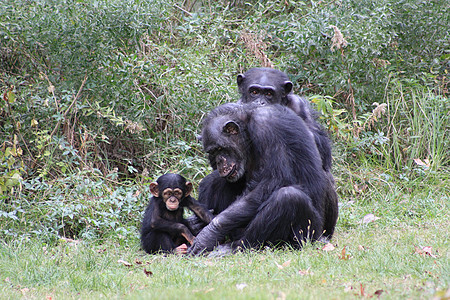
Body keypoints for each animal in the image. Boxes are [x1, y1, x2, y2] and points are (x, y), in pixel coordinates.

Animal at [186, 103, 338, 255]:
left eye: (220, 148)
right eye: (212, 152)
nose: (219, 161)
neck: (247, 127)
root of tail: (322, 237)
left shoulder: (266, 127)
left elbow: (274, 180)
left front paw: (209, 234)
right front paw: (196, 223)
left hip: (309, 236)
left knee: (289, 197)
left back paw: (234, 247)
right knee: (213, 181)